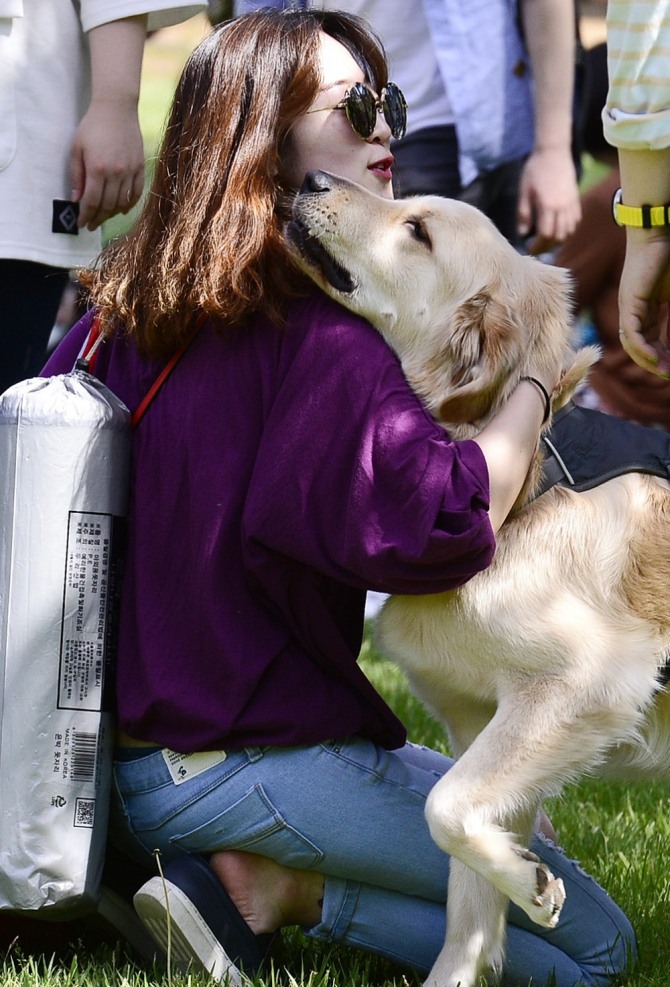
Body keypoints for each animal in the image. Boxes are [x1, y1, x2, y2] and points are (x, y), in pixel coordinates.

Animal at [286, 172, 670, 987]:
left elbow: (444, 808)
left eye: (418, 231)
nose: (310, 178)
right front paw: (510, 889)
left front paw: (531, 882)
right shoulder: (484, 721)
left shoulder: (584, 684)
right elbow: (464, 898)